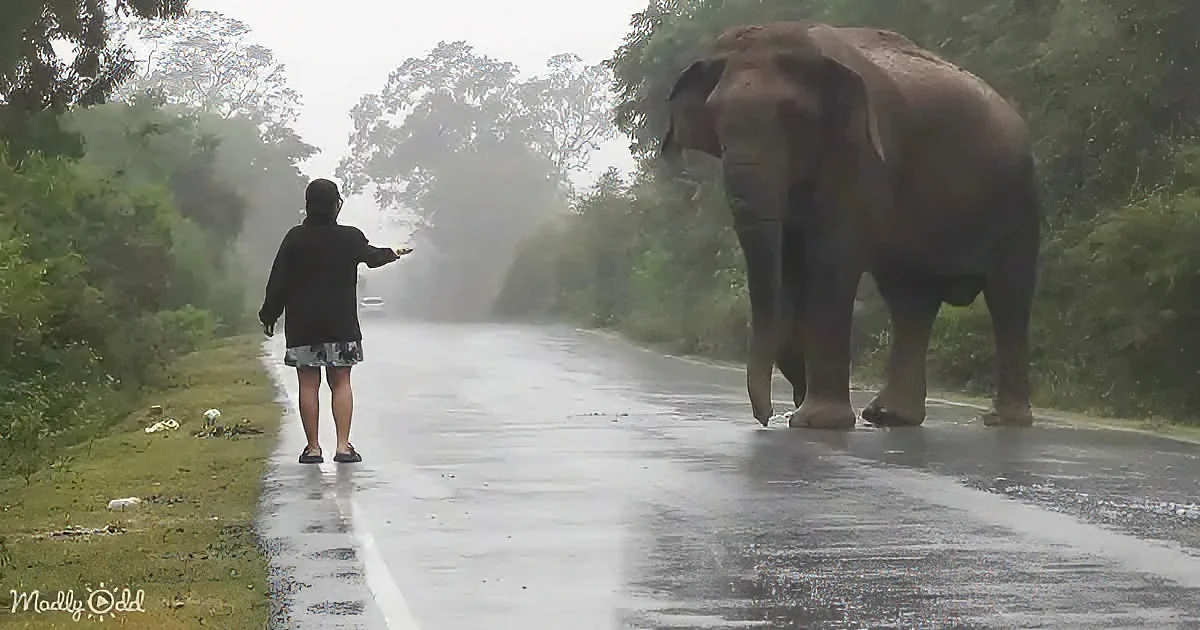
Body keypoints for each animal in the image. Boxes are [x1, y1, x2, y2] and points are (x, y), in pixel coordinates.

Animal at [659, 21, 1040, 430]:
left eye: (792, 115)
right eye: (714, 116)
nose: (766, 416)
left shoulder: (863, 153)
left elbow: (831, 259)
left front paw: (816, 421)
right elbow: (792, 265)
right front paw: (805, 409)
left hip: (1016, 198)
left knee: (1008, 297)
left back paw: (1004, 421)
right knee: (909, 300)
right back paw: (890, 416)